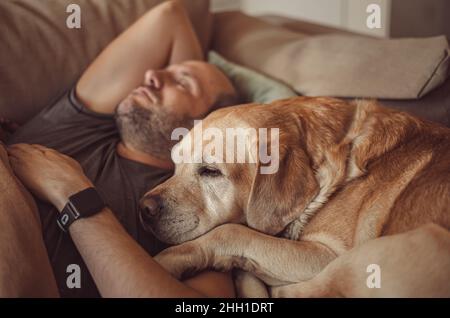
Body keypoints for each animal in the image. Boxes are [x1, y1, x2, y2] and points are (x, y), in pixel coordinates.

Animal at [139, 96, 450, 296]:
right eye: (175, 164)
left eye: (210, 171)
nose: (144, 208)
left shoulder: (327, 255)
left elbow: (232, 232)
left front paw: (167, 260)